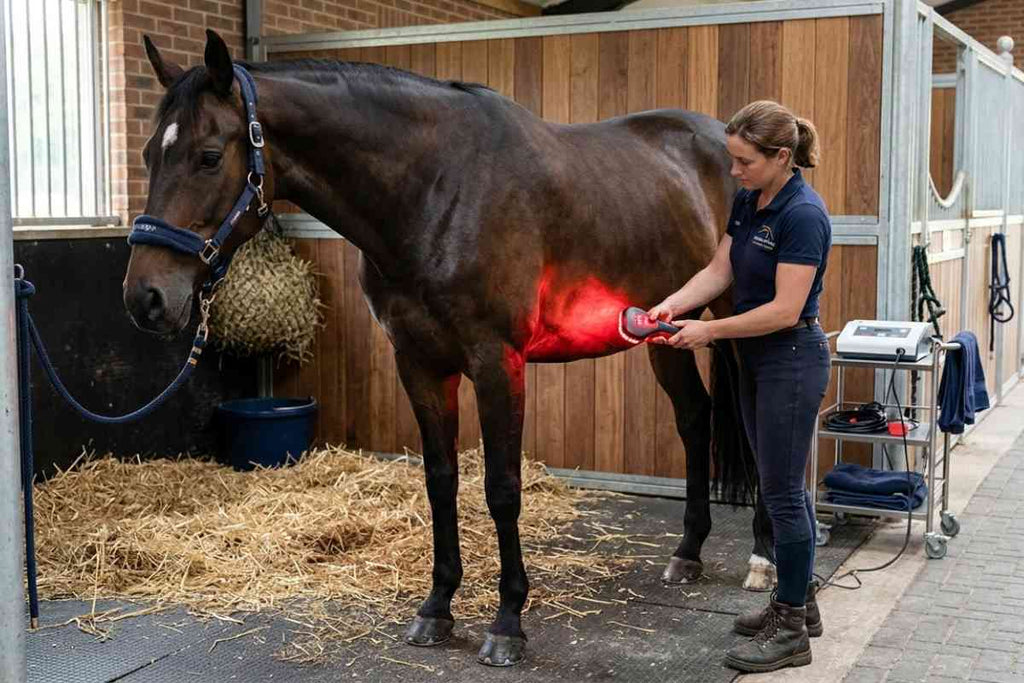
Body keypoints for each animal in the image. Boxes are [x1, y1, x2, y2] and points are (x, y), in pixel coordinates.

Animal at [124, 30, 775, 666]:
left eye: (209, 156)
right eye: (149, 154)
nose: (145, 297)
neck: (435, 191)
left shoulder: (497, 362)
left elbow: (502, 489)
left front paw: (508, 623)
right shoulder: (419, 364)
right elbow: (441, 482)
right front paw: (436, 608)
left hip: (739, 327)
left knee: (754, 426)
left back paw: (763, 558)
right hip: (665, 328)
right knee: (694, 418)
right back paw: (687, 552)